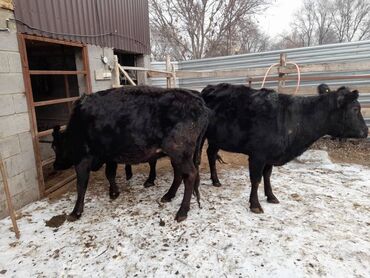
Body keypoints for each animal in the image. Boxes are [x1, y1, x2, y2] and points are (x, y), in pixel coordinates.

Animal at [50, 86, 210, 222]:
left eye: (55, 147)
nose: (55, 165)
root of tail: (197, 100)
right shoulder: (109, 156)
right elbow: (110, 174)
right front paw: (114, 192)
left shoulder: (82, 158)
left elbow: (81, 185)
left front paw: (75, 212)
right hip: (177, 155)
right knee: (179, 174)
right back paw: (168, 195)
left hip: (179, 151)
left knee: (190, 175)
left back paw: (182, 212)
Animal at [202, 82, 368, 213]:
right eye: (355, 109)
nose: (366, 131)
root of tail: (210, 87)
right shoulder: (258, 155)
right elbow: (256, 179)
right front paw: (255, 205)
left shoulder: (271, 155)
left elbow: (267, 176)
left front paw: (271, 196)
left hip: (217, 139)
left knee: (211, 154)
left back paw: (216, 181)